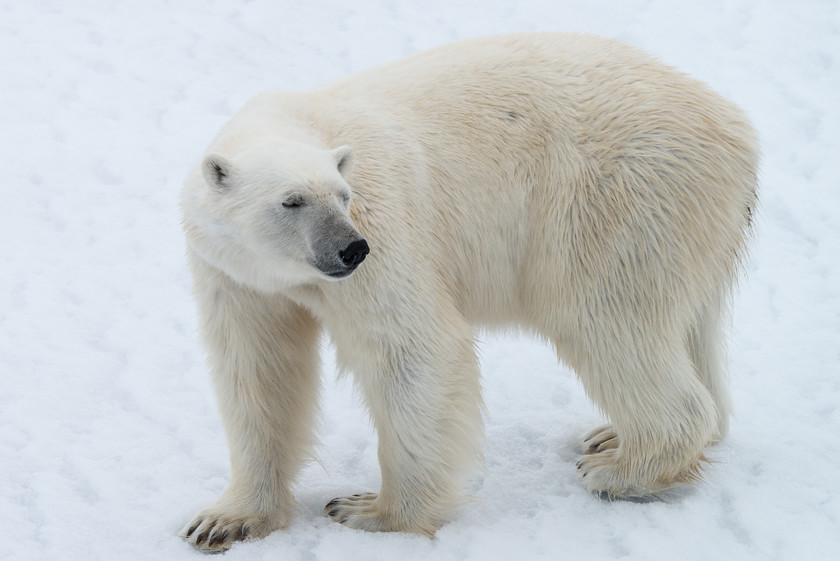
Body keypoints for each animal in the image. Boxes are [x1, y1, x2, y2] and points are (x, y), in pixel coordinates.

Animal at [180, 34, 756, 552]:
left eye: (342, 195)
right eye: (291, 201)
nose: (351, 250)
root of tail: (737, 129)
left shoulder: (386, 223)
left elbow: (413, 350)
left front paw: (370, 512)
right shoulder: (233, 274)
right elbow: (258, 369)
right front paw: (225, 520)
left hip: (617, 198)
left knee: (602, 315)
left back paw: (617, 469)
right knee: (688, 328)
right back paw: (614, 435)